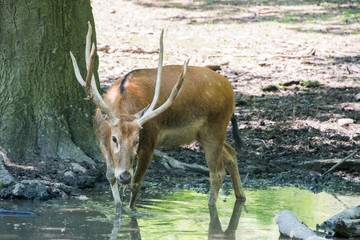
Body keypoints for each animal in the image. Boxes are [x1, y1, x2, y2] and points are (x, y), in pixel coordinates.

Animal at [69, 22, 246, 212]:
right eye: (114, 138)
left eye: (137, 140)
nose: (124, 175)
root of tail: (230, 89)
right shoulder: (101, 138)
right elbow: (109, 176)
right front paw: (118, 210)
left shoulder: (150, 141)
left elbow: (136, 184)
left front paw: (132, 212)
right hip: (203, 133)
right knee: (231, 153)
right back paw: (241, 197)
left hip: (216, 125)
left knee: (217, 172)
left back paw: (211, 206)